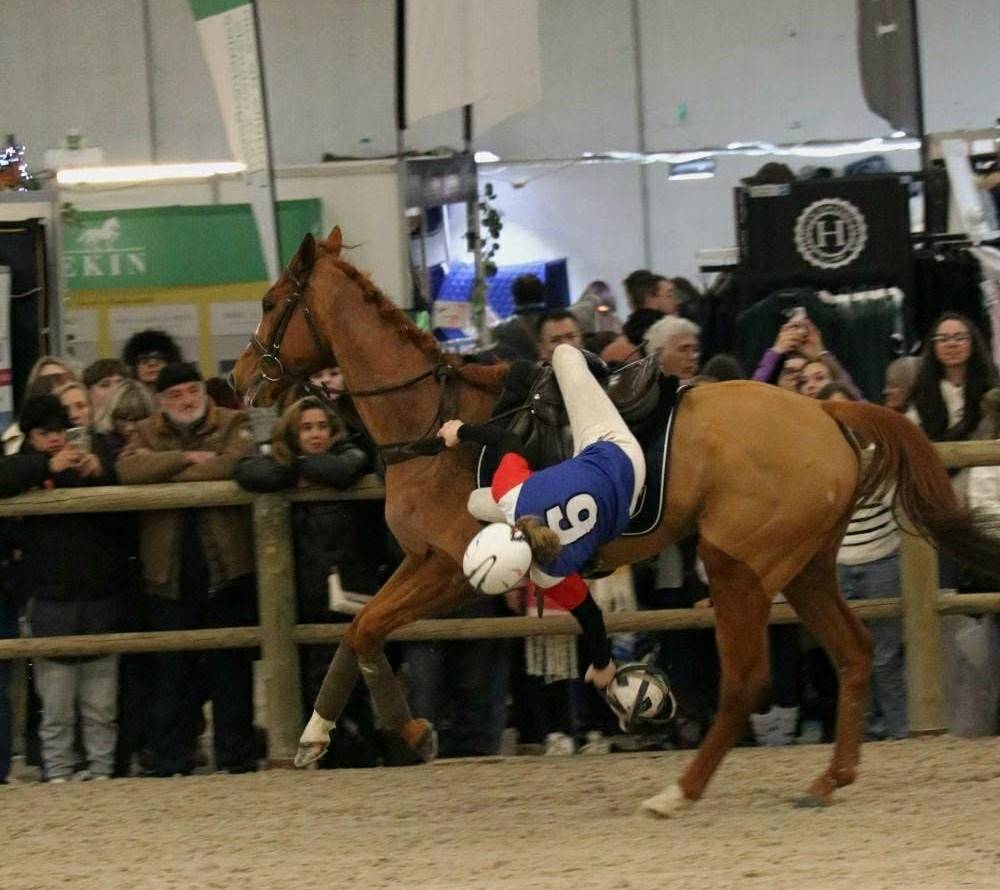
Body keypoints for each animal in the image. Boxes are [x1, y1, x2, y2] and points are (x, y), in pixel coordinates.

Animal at [231, 228, 1000, 816]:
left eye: (270, 303)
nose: (238, 380)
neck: (430, 421)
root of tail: (824, 410)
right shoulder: (437, 561)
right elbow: (359, 629)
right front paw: (316, 735)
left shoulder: (453, 569)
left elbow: (368, 629)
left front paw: (409, 731)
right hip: (805, 569)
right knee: (854, 653)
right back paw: (827, 779)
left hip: (736, 569)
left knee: (746, 682)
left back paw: (679, 792)